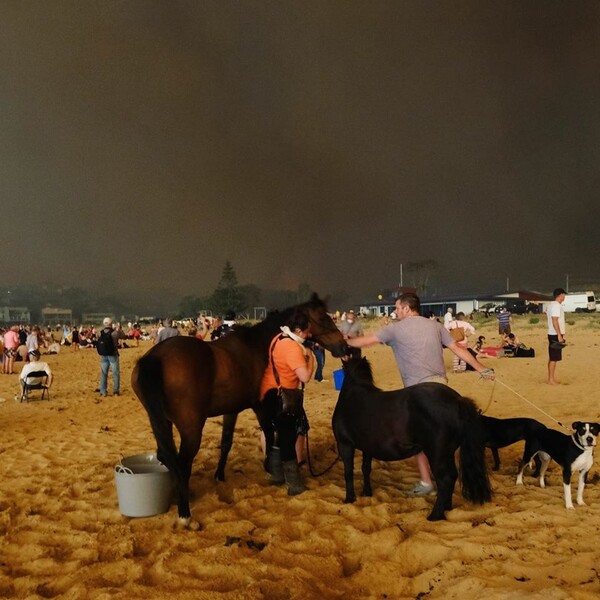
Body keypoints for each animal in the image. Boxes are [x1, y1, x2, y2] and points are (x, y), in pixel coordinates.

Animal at [131, 292, 346, 528]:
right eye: (324, 318)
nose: (344, 347)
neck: (259, 347)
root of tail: (156, 357)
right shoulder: (261, 405)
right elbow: (269, 435)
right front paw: (269, 468)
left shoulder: (231, 410)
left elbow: (226, 442)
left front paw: (219, 475)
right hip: (191, 427)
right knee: (182, 461)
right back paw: (184, 512)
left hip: (160, 421)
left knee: (166, 456)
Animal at [332, 356, 492, 520]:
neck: (353, 394)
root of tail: (458, 400)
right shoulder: (367, 447)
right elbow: (365, 469)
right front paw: (366, 493)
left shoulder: (344, 444)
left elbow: (348, 472)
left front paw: (349, 498)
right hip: (447, 453)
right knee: (453, 476)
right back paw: (447, 507)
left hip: (437, 454)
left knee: (445, 480)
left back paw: (434, 515)